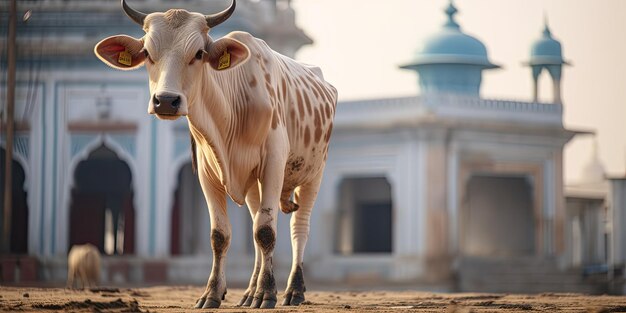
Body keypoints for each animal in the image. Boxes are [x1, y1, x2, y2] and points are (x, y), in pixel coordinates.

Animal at [93, 0, 336, 308]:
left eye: (199, 53)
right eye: (147, 52)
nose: (166, 101)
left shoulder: (273, 164)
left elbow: (267, 232)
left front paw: (267, 293)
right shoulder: (207, 173)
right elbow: (221, 236)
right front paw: (212, 293)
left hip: (314, 173)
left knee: (298, 228)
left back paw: (294, 290)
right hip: (254, 185)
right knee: (256, 226)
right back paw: (249, 292)